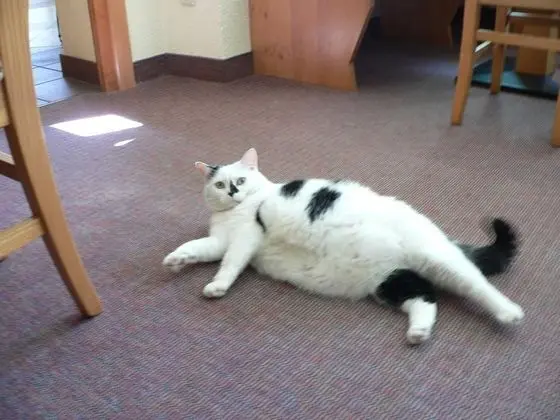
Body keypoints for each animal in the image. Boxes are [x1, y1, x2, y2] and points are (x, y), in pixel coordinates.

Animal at [163, 148, 524, 345]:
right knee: (426, 296)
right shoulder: (221, 241)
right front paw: (177, 259)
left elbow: (231, 263)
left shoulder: (246, 236)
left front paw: (218, 285)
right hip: (390, 282)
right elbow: (200, 247)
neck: (234, 214)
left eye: (240, 180)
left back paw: (509, 312)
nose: (233, 192)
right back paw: (419, 332)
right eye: (219, 185)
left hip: (438, 259)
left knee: (478, 285)